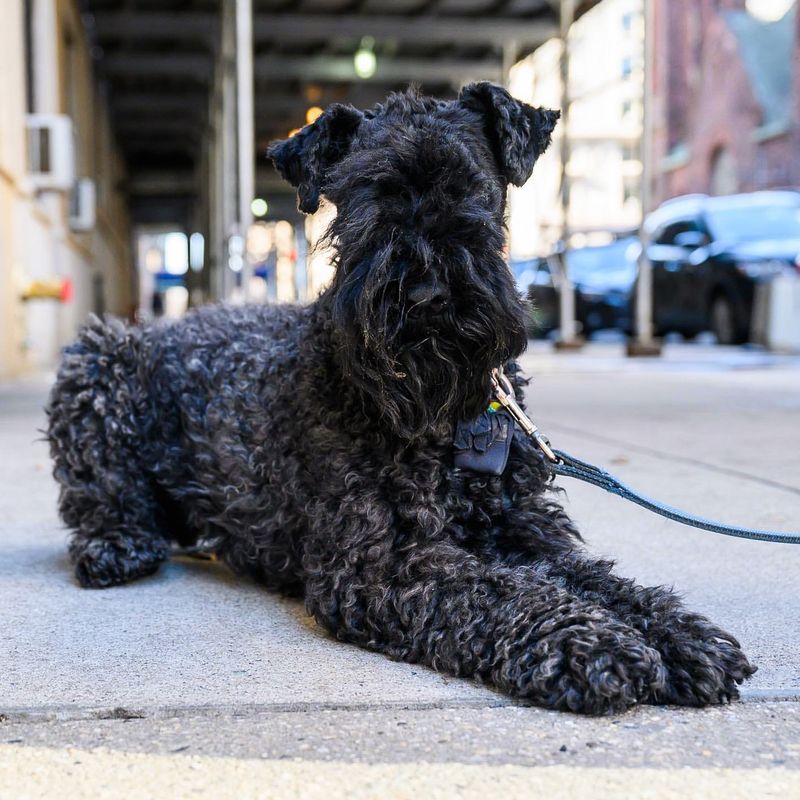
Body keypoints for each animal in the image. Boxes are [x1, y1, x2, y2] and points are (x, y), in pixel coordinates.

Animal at [47, 86, 752, 712]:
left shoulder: (527, 532)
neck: (447, 420)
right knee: (101, 497)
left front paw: (678, 634)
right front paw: (591, 644)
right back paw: (117, 546)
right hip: (94, 364)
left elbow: (598, 578)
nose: (427, 291)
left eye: (473, 187)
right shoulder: (382, 562)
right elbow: (497, 593)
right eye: (366, 192)